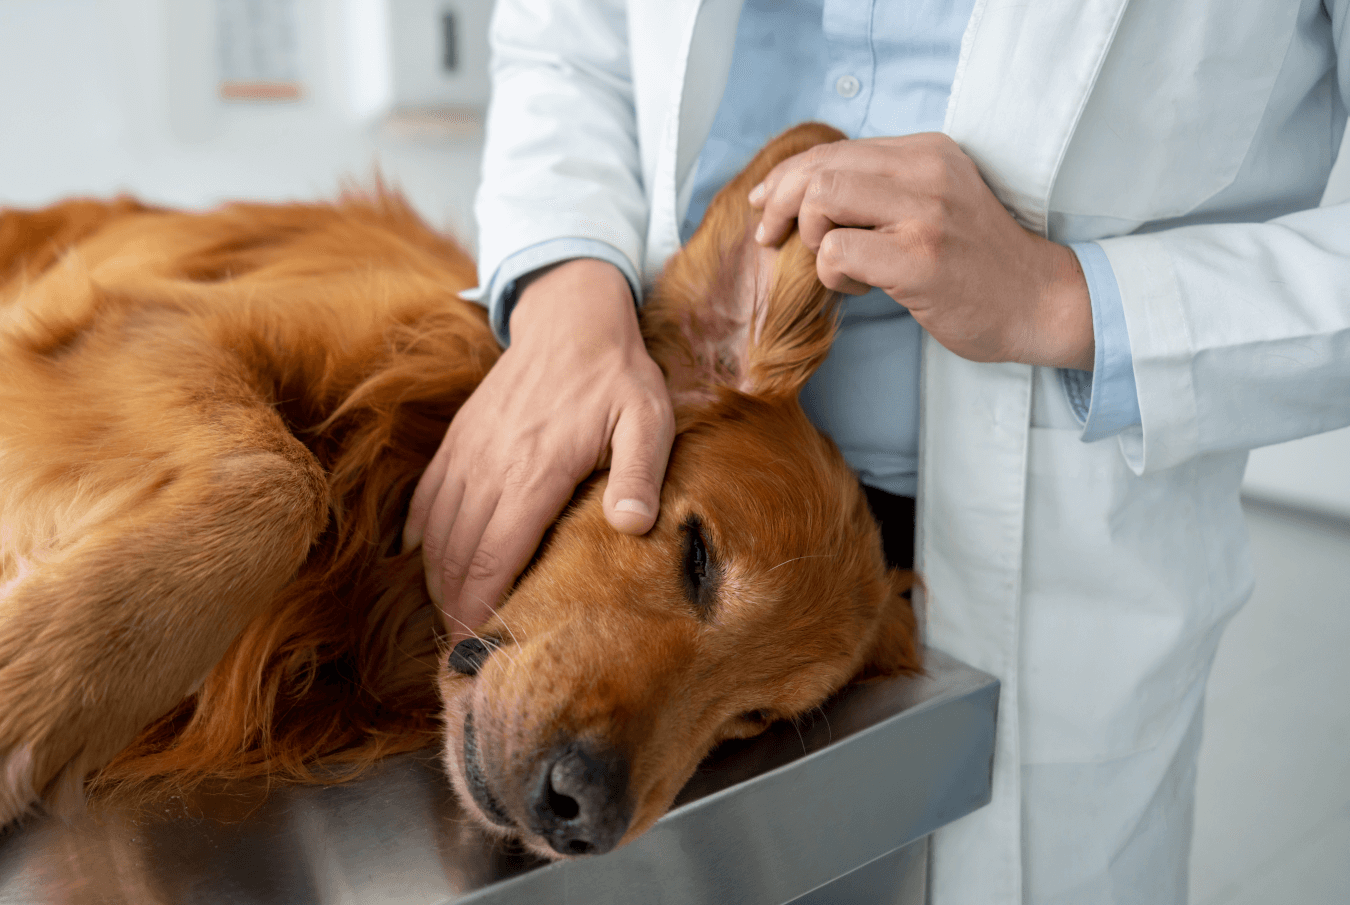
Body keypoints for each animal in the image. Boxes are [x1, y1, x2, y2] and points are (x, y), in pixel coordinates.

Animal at [0, 124, 918, 859]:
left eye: (752, 716)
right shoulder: (142, 322)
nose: (583, 813)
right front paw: (31, 686)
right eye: (698, 556)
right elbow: (276, 480)